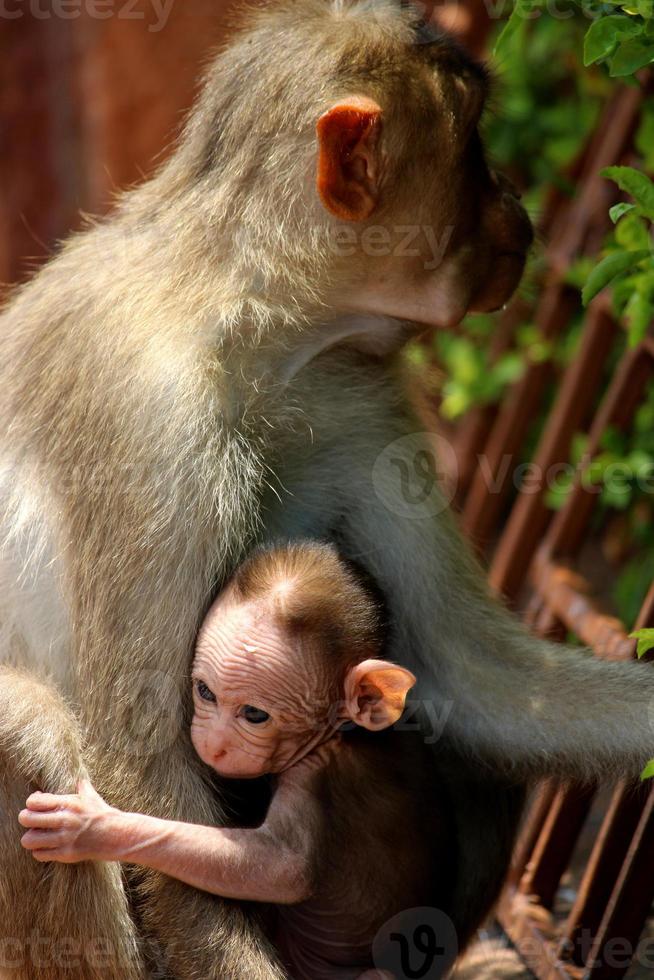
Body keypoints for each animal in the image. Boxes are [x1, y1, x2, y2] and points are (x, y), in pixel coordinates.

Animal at [18, 544, 454, 980]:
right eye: (205, 691)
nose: (212, 744)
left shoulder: (312, 775)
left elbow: (281, 867)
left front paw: (93, 826)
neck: (341, 736)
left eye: (255, 714)